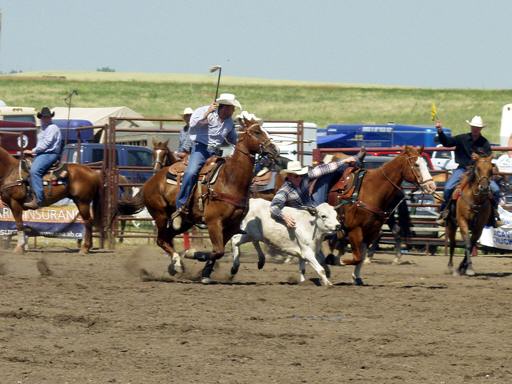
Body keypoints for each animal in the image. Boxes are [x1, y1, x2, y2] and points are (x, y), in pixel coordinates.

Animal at [119, 121, 280, 284]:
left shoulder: (231, 226)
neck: (230, 180)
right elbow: (218, 251)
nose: (275, 149)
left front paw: (205, 273)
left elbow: (218, 251)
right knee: (161, 240)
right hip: (160, 215)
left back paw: (175, 266)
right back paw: (177, 263)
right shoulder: (213, 222)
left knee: (168, 238)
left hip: (185, 222)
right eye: (257, 132)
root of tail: (149, 182)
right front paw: (191, 253)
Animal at [332, 147, 436, 284]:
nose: (431, 186)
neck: (371, 189)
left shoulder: (368, 229)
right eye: (416, 164)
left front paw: (354, 273)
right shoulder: (355, 228)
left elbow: (359, 256)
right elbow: (357, 255)